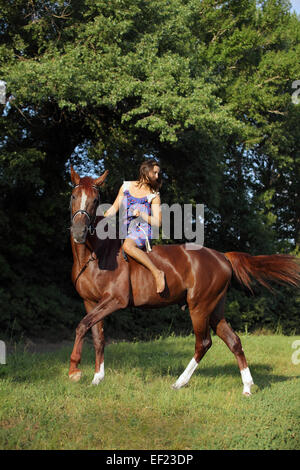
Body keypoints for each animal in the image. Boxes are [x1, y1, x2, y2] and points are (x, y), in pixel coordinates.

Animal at [68, 167, 300, 394]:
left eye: (96, 199)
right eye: (73, 196)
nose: (79, 232)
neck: (97, 255)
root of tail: (223, 256)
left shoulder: (116, 300)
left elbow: (82, 325)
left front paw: (74, 371)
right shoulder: (90, 302)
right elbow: (97, 336)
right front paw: (96, 379)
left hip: (199, 307)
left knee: (203, 343)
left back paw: (180, 382)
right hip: (215, 310)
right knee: (233, 341)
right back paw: (247, 387)